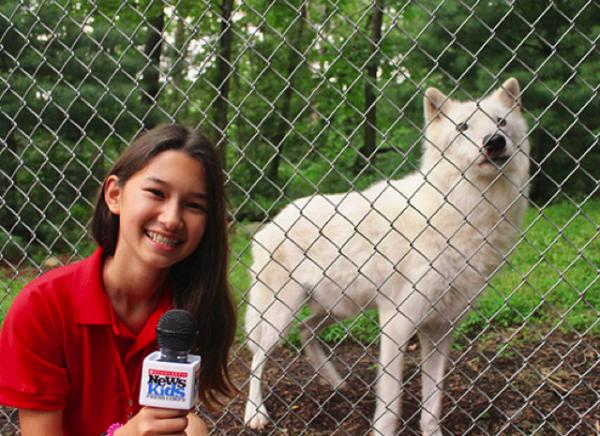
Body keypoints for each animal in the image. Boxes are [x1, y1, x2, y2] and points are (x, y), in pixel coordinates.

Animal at [243, 79, 528, 436]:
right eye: (463, 127)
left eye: (501, 122)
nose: (494, 142)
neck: (465, 211)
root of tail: (271, 222)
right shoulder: (397, 324)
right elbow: (391, 404)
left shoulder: (440, 330)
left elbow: (433, 403)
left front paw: (431, 432)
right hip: (280, 317)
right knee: (257, 359)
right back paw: (255, 414)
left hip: (337, 309)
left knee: (306, 331)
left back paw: (335, 381)